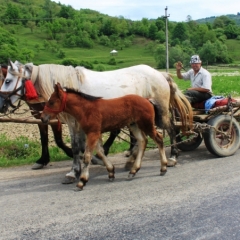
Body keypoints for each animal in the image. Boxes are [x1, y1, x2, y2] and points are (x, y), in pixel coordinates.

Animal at [0, 60, 192, 184]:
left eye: (7, 80)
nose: (1, 105)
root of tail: (160, 73)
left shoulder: (74, 123)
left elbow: (76, 146)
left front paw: (77, 169)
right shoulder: (72, 123)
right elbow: (76, 146)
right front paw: (75, 170)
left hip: (160, 112)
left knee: (171, 130)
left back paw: (172, 157)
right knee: (142, 139)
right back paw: (132, 161)